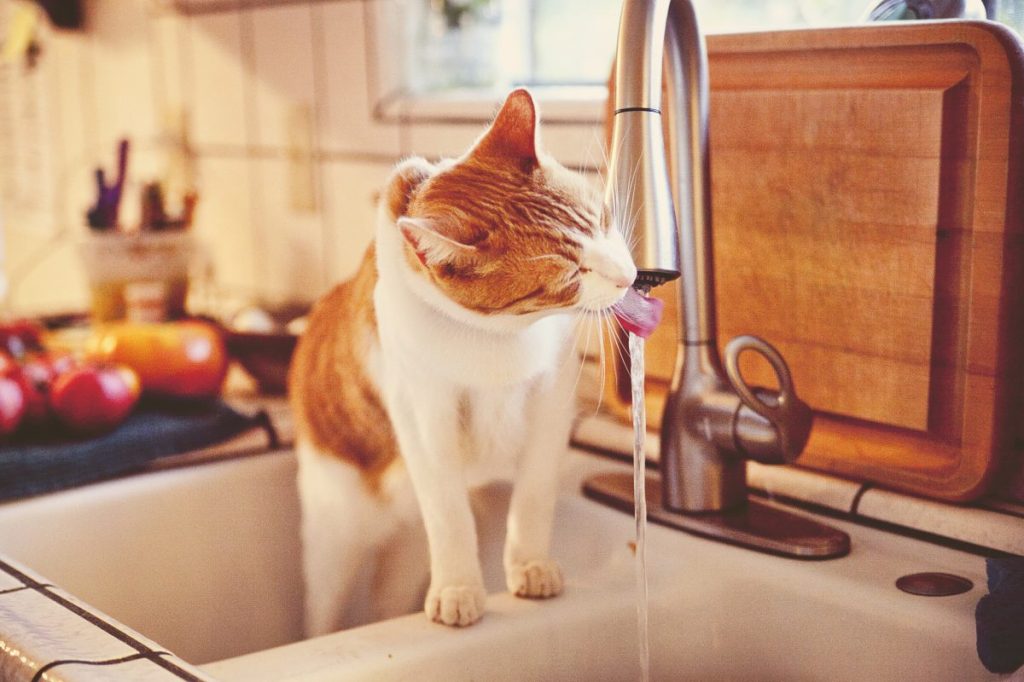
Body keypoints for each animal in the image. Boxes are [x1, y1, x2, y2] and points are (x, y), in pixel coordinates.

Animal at [288, 90, 634, 630]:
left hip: (404, 554)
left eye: (601, 220)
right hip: (334, 540)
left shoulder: (551, 405)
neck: (498, 342)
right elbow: (451, 520)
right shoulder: (426, 421)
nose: (628, 277)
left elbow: (533, 498)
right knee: (324, 607)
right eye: (570, 275)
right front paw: (458, 590)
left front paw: (530, 566)